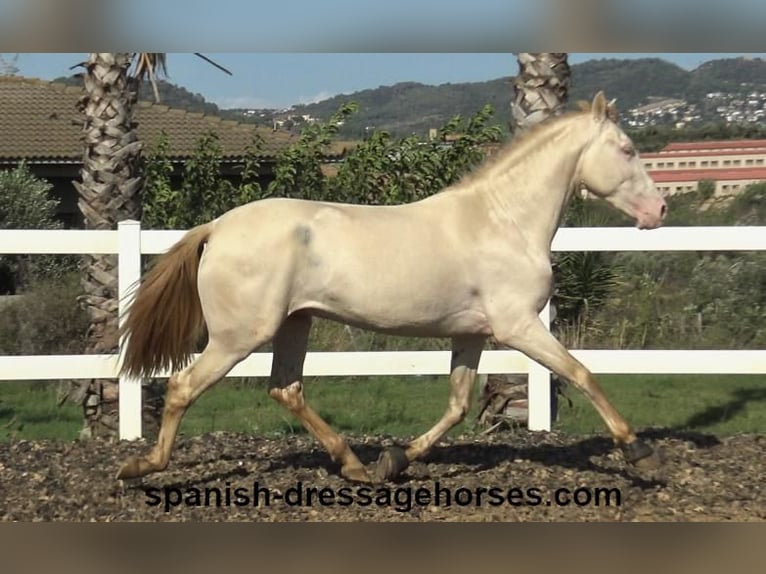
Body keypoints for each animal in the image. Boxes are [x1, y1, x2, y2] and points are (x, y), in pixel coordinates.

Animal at [117, 92, 668, 484]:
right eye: (627, 150)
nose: (659, 210)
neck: (503, 221)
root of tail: (216, 228)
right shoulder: (517, 326)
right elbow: (581, 372)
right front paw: (639, 452)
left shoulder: (471, 333)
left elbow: (457, 405)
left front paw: (396, 459)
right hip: (241, 335)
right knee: (183, 386)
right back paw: (142, 467)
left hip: (295, 323)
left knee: (286, 388)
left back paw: (354, 465)